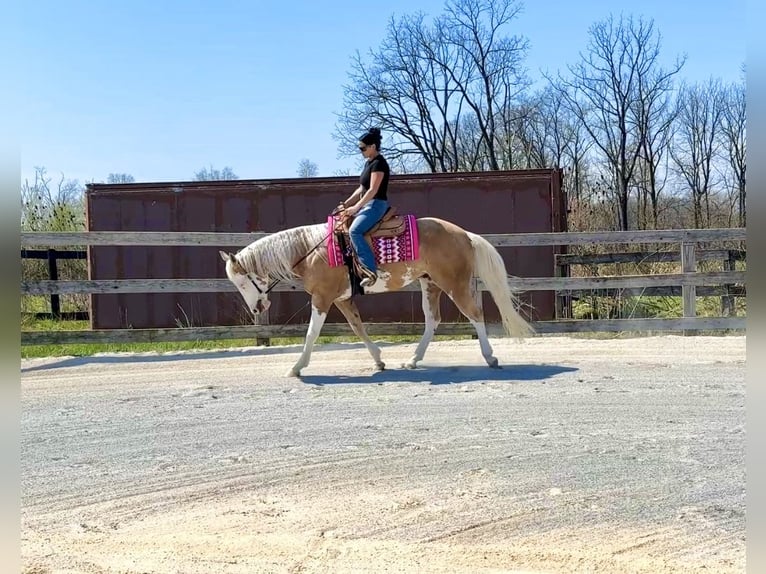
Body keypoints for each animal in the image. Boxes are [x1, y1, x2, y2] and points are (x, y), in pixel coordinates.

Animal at [219, 214, 533, 377]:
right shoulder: (342, 299)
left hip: (453, 283)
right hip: (430, 284)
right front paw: (379, 360)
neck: (311, 251)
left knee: (475, 314)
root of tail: (465, 234)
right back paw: (413, 360)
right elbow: (358, 328)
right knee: (433, 320)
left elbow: (311, 333)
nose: (257, 309)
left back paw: (490, 358)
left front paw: (296, 367)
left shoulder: (322, 298)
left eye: (242, 282)